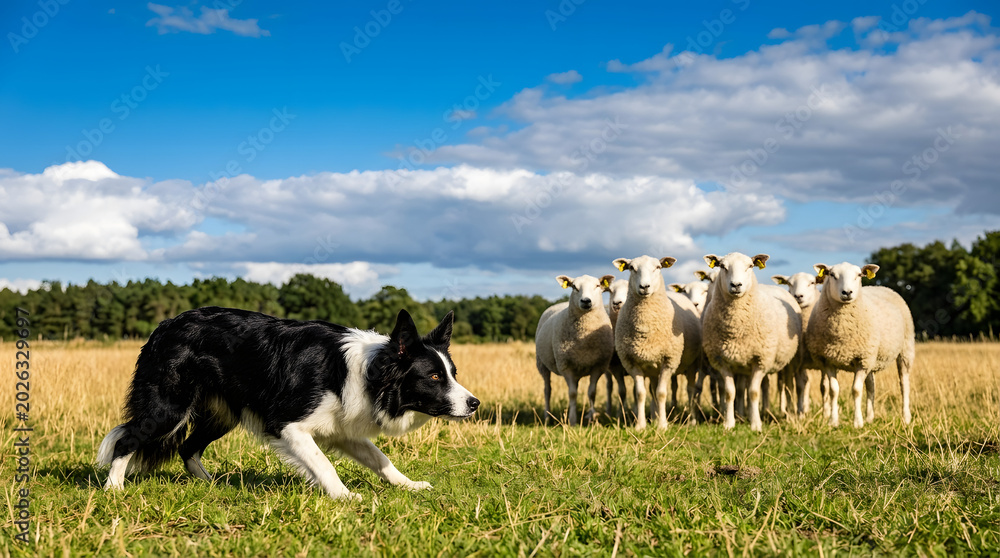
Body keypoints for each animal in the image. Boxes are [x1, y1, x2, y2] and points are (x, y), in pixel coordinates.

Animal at [535, 274, 616, 426]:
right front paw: (572, 421)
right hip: (542, 364)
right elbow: (572, 394)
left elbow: (592, 392)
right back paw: (547, 416)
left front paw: (592, 418)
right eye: (574, 287)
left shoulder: (599, 366)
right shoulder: (566, 366)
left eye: (597, 285)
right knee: (547, 390)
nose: (586, 301)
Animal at [612, 256, 702, 429]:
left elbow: (661, 393)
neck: (645, 326)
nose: (644, 286)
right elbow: (640, 394)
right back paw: (653, 418)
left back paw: (692, 420)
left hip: (692, 363)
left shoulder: (669, 360)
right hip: (652, 366)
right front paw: (640, 426)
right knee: (652, 389)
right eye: (631, 268)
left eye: (658, 267)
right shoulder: (632, 362)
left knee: (690, 390)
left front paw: (662, 425)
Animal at [701, 252, 801, 432]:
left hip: (790, 359)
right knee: (742, 389)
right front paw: (729, 423)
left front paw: (756, 424)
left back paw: (789, 415)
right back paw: (742, 414)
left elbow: (754, 392)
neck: (736, 328)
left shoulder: (761, 360)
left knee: (789, 386)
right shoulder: (722, 361)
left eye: (750, 266)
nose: (736, 285)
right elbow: (730, 393)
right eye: (722, 266)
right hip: (741, 363)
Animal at [771, 272, 824, 417]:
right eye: (789, 283)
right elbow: (799, 386)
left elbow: (823, 386)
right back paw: (785, 410)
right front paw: (800, 414)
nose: (798, 296)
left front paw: (826, 413)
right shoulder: (799, 362)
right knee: (782, 384)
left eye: (812, 283)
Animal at [805, 262, 914, 428]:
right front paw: (833, 421)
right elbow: (833, 391)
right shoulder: (828, 360)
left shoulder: (862, 360)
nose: (847, 292)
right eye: (832, 275)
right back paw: (870, 417)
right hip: (872, 357)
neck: (841, 334)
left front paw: (857, 422)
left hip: (905, 349)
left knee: (904, 384)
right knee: (871, 386)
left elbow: (856, 390)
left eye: (858, 275)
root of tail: (881, 286)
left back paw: (906, 417)